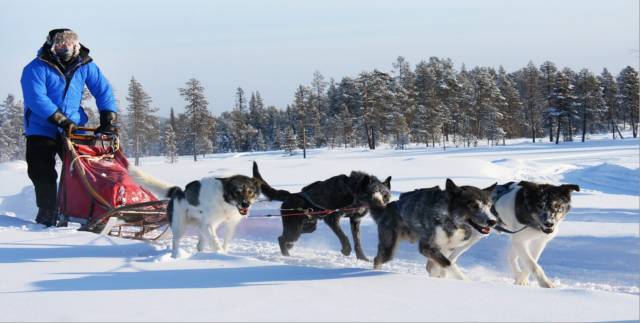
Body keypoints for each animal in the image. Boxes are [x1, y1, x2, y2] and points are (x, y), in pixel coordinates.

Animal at [129, 165, 262, 258]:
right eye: (237, 192)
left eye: (250, 192)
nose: (246, 204)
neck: (224, 200)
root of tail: (179, 192)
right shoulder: (208, 225)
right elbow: (216, 243)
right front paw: (221, 255)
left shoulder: (230, 224)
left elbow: (225, 242)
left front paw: (224, 254)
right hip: (180, 227)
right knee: (175, 241)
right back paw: (175, 256)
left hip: (203, 227)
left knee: (200, 244)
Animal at [368, 180, 498, 280]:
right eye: (474, 206)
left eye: (489, 206)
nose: (493, 221)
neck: (450, 221)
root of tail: (387, 208)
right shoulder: (427, 247)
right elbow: (448, 263)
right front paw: (464, 280)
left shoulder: (446, 248)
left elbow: (442, 265)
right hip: (389, 248)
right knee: (377, 259)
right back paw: (376, 271)